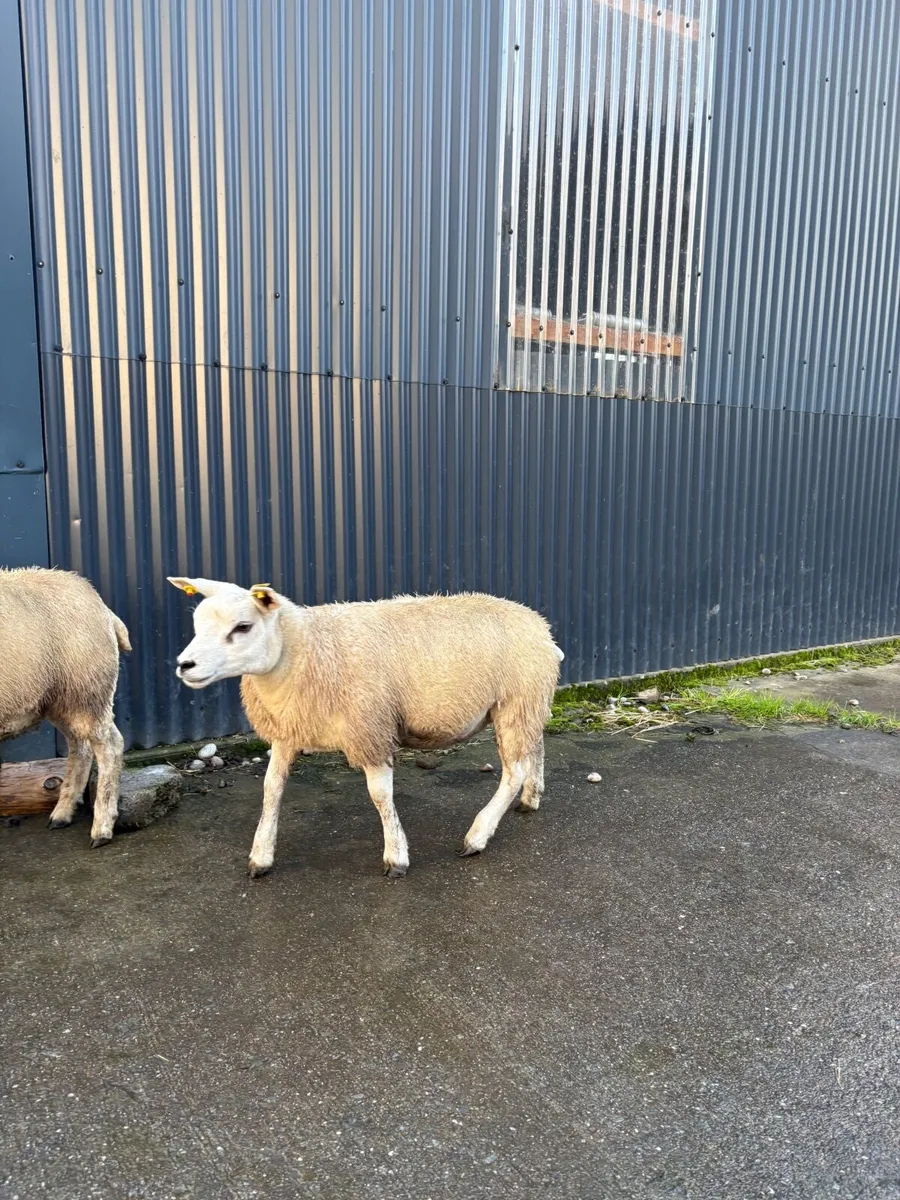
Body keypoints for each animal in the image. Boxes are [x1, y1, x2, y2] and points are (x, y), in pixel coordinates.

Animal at [0, 567, 130, 846]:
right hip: (61, 700)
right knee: (80, 747)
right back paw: (63, 812)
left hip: (86, 690)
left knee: (109, 746)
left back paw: (102, 827)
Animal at [169, 578, 564, 878]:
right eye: (197, 625)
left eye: (243, 627)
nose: (184, 665)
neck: (307, 647)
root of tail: (540, 626)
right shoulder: (287, 732)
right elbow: (271, 790)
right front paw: (261, 856)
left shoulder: (369, 728)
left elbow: (380, 796)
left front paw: (396, 857)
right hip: (527, 701)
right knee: (536, 747)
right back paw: (531, 798)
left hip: (516, 700)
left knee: (513, 771)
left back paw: (477, 836)